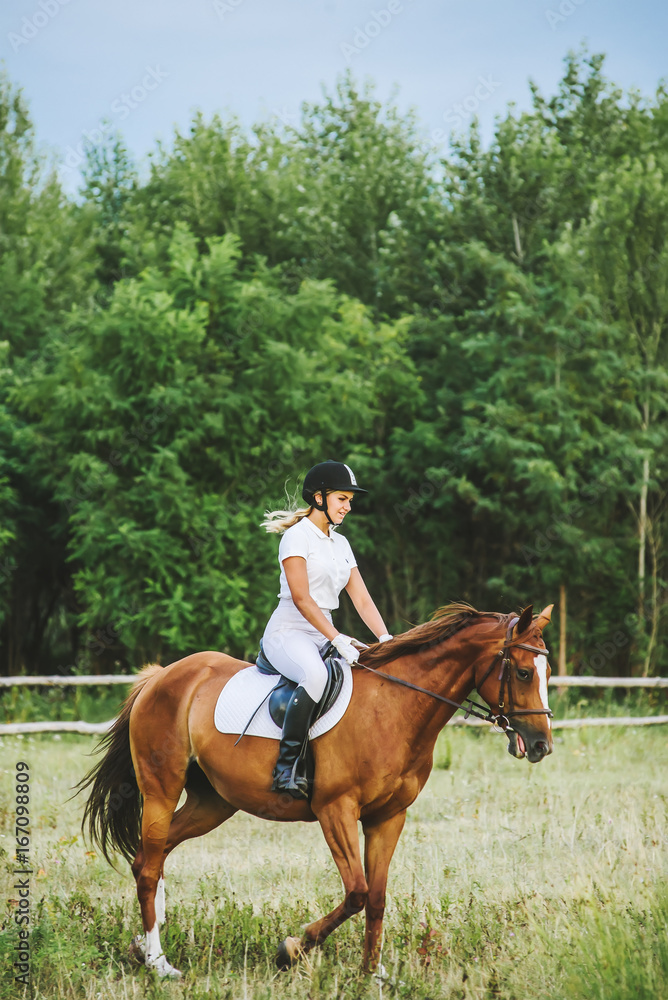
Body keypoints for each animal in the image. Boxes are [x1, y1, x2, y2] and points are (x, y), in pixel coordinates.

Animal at [79, 600, 552, 976]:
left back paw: (143, 948)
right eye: (524, 672)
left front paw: (372, 974)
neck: (394, 707)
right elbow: (357, 892)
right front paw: (292, 950)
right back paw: (160, 965)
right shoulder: (336, 810)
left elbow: (376, 897)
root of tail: (161, 677)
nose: (542, 745)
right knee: (148, 866)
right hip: (161, 789)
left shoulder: (388, 817)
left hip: (212, 803)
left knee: (150, 857)